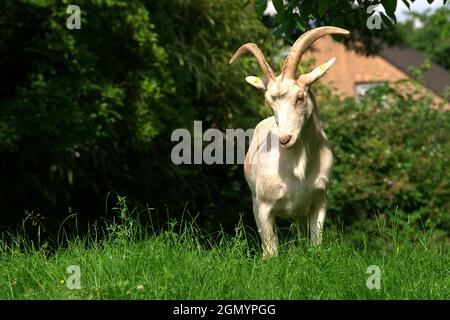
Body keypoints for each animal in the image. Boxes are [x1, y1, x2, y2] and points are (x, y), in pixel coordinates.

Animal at [230, 26, 350, 256]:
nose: (285, 139)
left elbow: (315, 243)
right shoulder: (263, 208)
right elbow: (271, 252)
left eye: (300, 97)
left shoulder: (319, 202)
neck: (297, 168)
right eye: (270, 103)